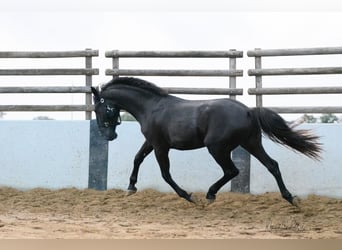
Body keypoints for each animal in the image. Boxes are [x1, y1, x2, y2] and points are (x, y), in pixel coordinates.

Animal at [90, 77, 320, 206]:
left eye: (98, 108)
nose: (108, 136)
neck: (151, 107)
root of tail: (248, 110)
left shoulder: (160, 146)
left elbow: (165, 174)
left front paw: (188, 196)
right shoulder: (151, 142)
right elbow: (137, 158)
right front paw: (131, 187)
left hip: (217, 148)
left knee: (232, 171)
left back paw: (209, 195)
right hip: (251, 143)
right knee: (272, 165)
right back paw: (290, 198)